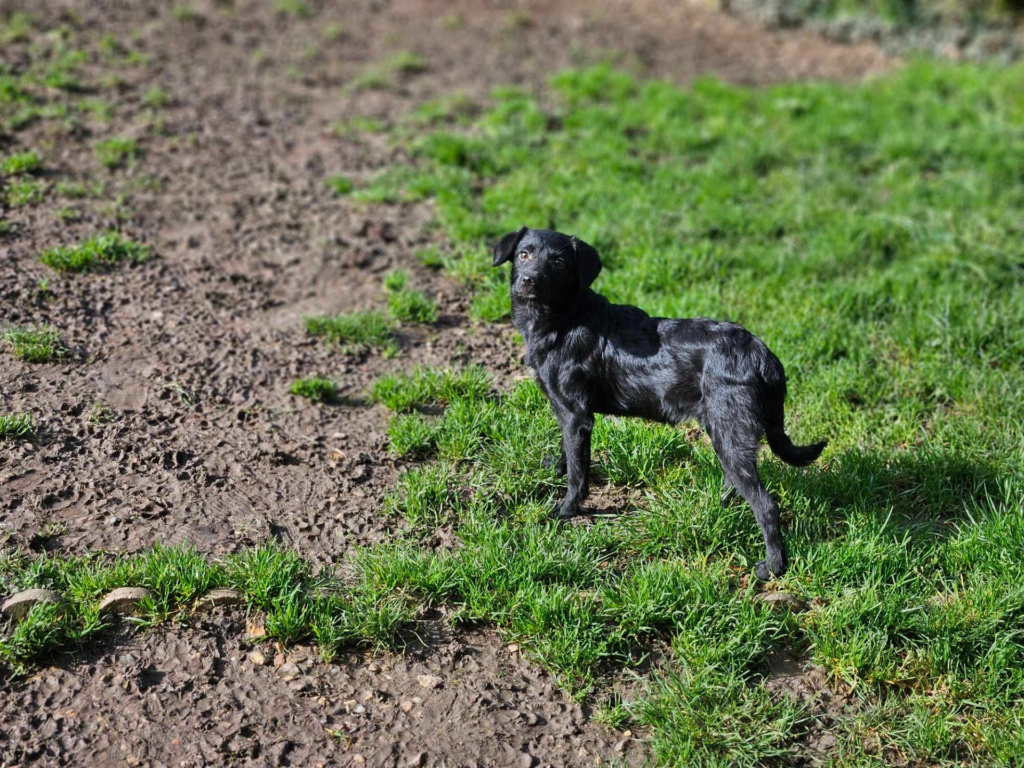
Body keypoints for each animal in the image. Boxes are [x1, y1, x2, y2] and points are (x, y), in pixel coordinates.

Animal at [491, 225, 827, 581]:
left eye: (558, 263)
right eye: (523, 254)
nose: (528, 280)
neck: (564, 317)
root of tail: (762, 353)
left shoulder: (576, 414)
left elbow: (579, 472)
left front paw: (567, 509)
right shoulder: (564, 411)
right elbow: (568, 452)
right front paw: (556, 466)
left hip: (730, 430)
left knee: (766, 504)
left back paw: (774, 565)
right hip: (722, 428)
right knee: (736, 481)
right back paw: (717, 507)